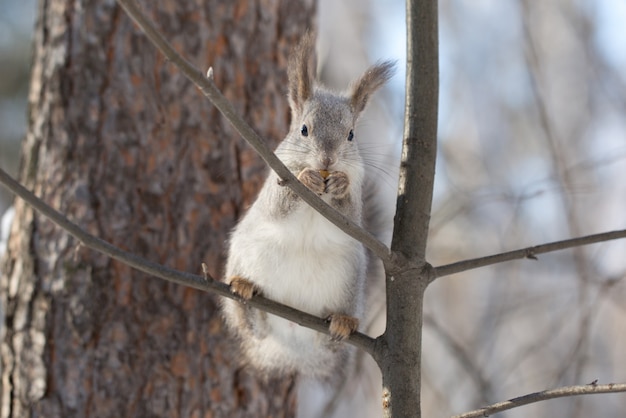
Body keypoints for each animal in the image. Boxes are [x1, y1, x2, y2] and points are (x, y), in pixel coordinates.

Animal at [222, 34, 392, 380]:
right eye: (303, 129)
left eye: (351, 134)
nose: (327, 160)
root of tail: (290, 343)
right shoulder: (275, 176)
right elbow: (276, 206)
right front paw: (305, 179)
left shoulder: (356, 201)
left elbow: (351, 212)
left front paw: (339, 185)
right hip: (246, 254)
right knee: (252, 329)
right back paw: (244, 293)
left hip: (348, 281)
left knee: (331, 344)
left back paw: (342, 323)